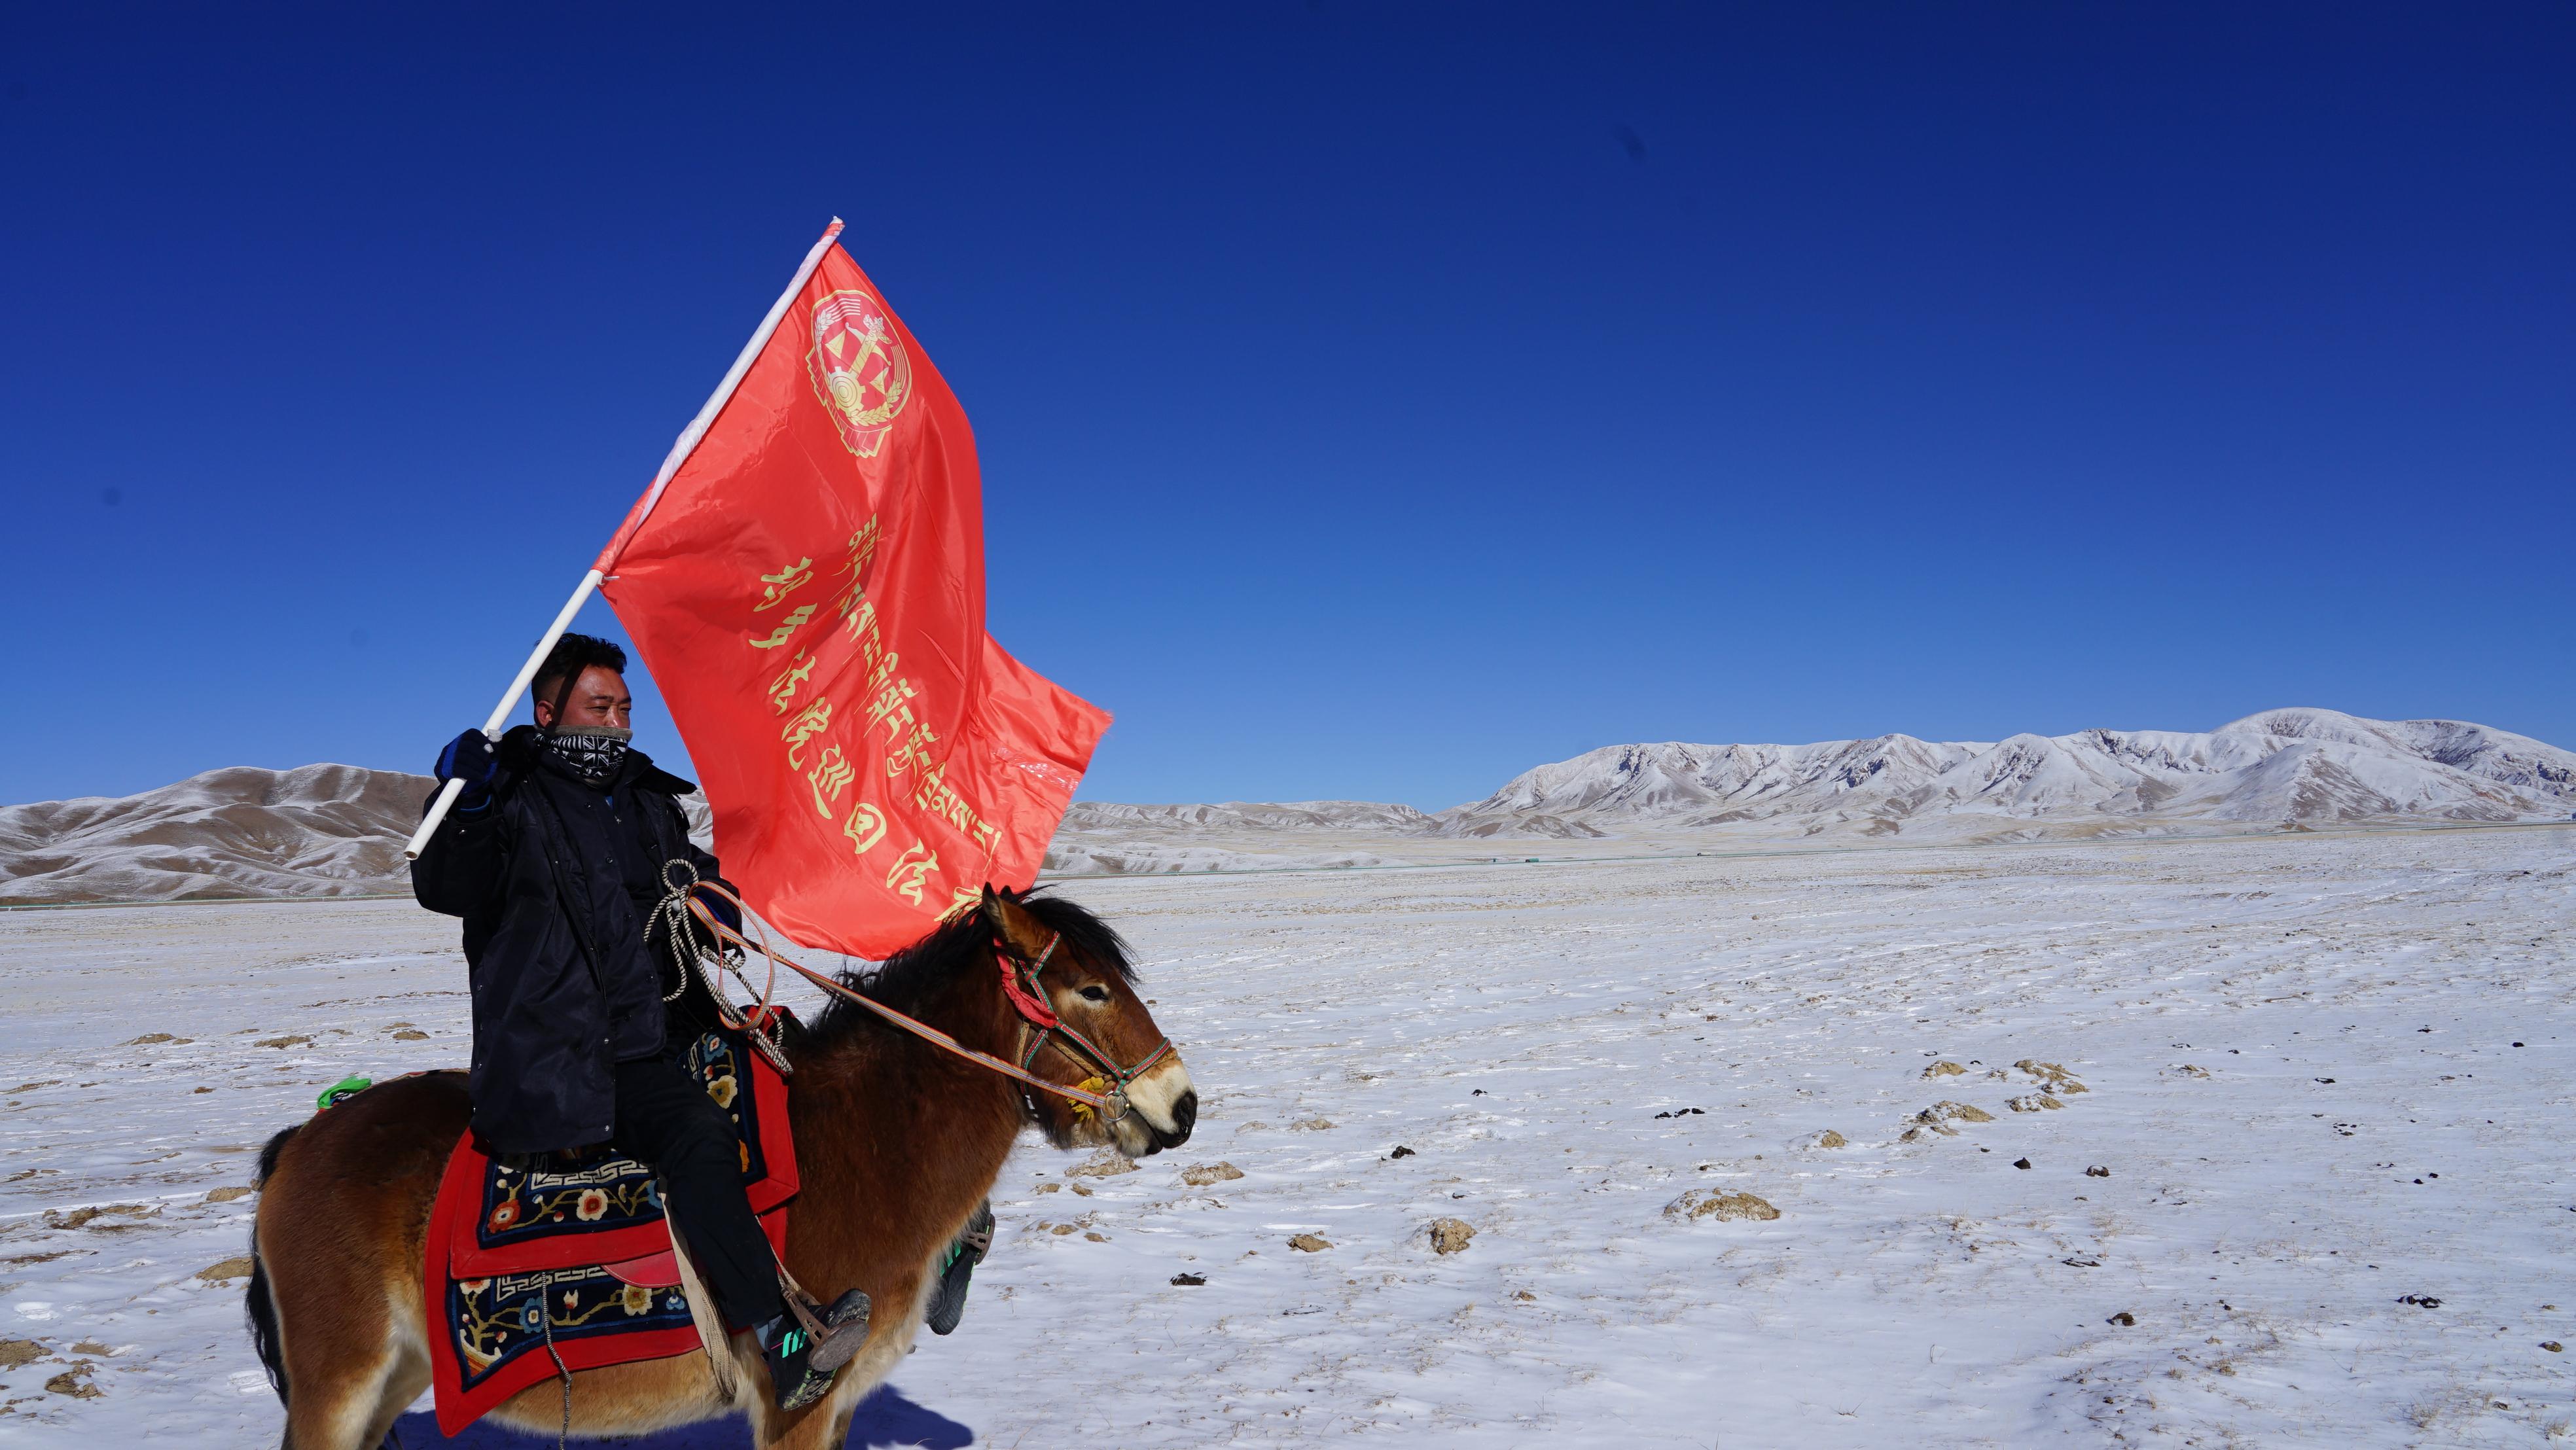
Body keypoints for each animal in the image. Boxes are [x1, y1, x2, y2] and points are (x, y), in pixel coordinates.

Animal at [245, 886, 1190, 1450]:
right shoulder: (796, 1408)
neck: (871, 1138)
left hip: (396, 1376)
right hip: (338, 1381)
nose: (1180, 1105)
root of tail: (304, 1140)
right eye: (1092, 990)